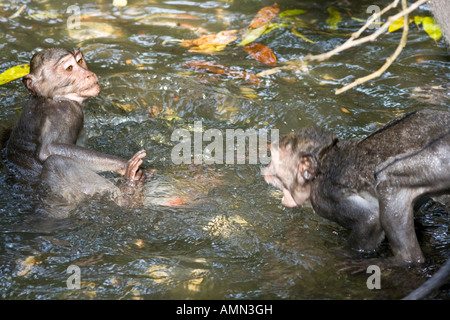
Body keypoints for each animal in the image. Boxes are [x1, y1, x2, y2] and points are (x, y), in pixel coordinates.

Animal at [4, 48, 148, 218]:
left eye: (79, 61)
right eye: (69, 68)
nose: (89, 74)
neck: (50, 97)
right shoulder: (66, 112)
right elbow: (48, 150)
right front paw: (124, 166)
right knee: (56, 162)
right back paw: (126, 194)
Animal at [264, 109, 450, 266]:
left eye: (273, 160)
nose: (265, 169)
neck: (323, 161)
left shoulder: (323, 197)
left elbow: (370, 220)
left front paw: (345, 255)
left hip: (437, 160)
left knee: (388, 180)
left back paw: (401, 261)